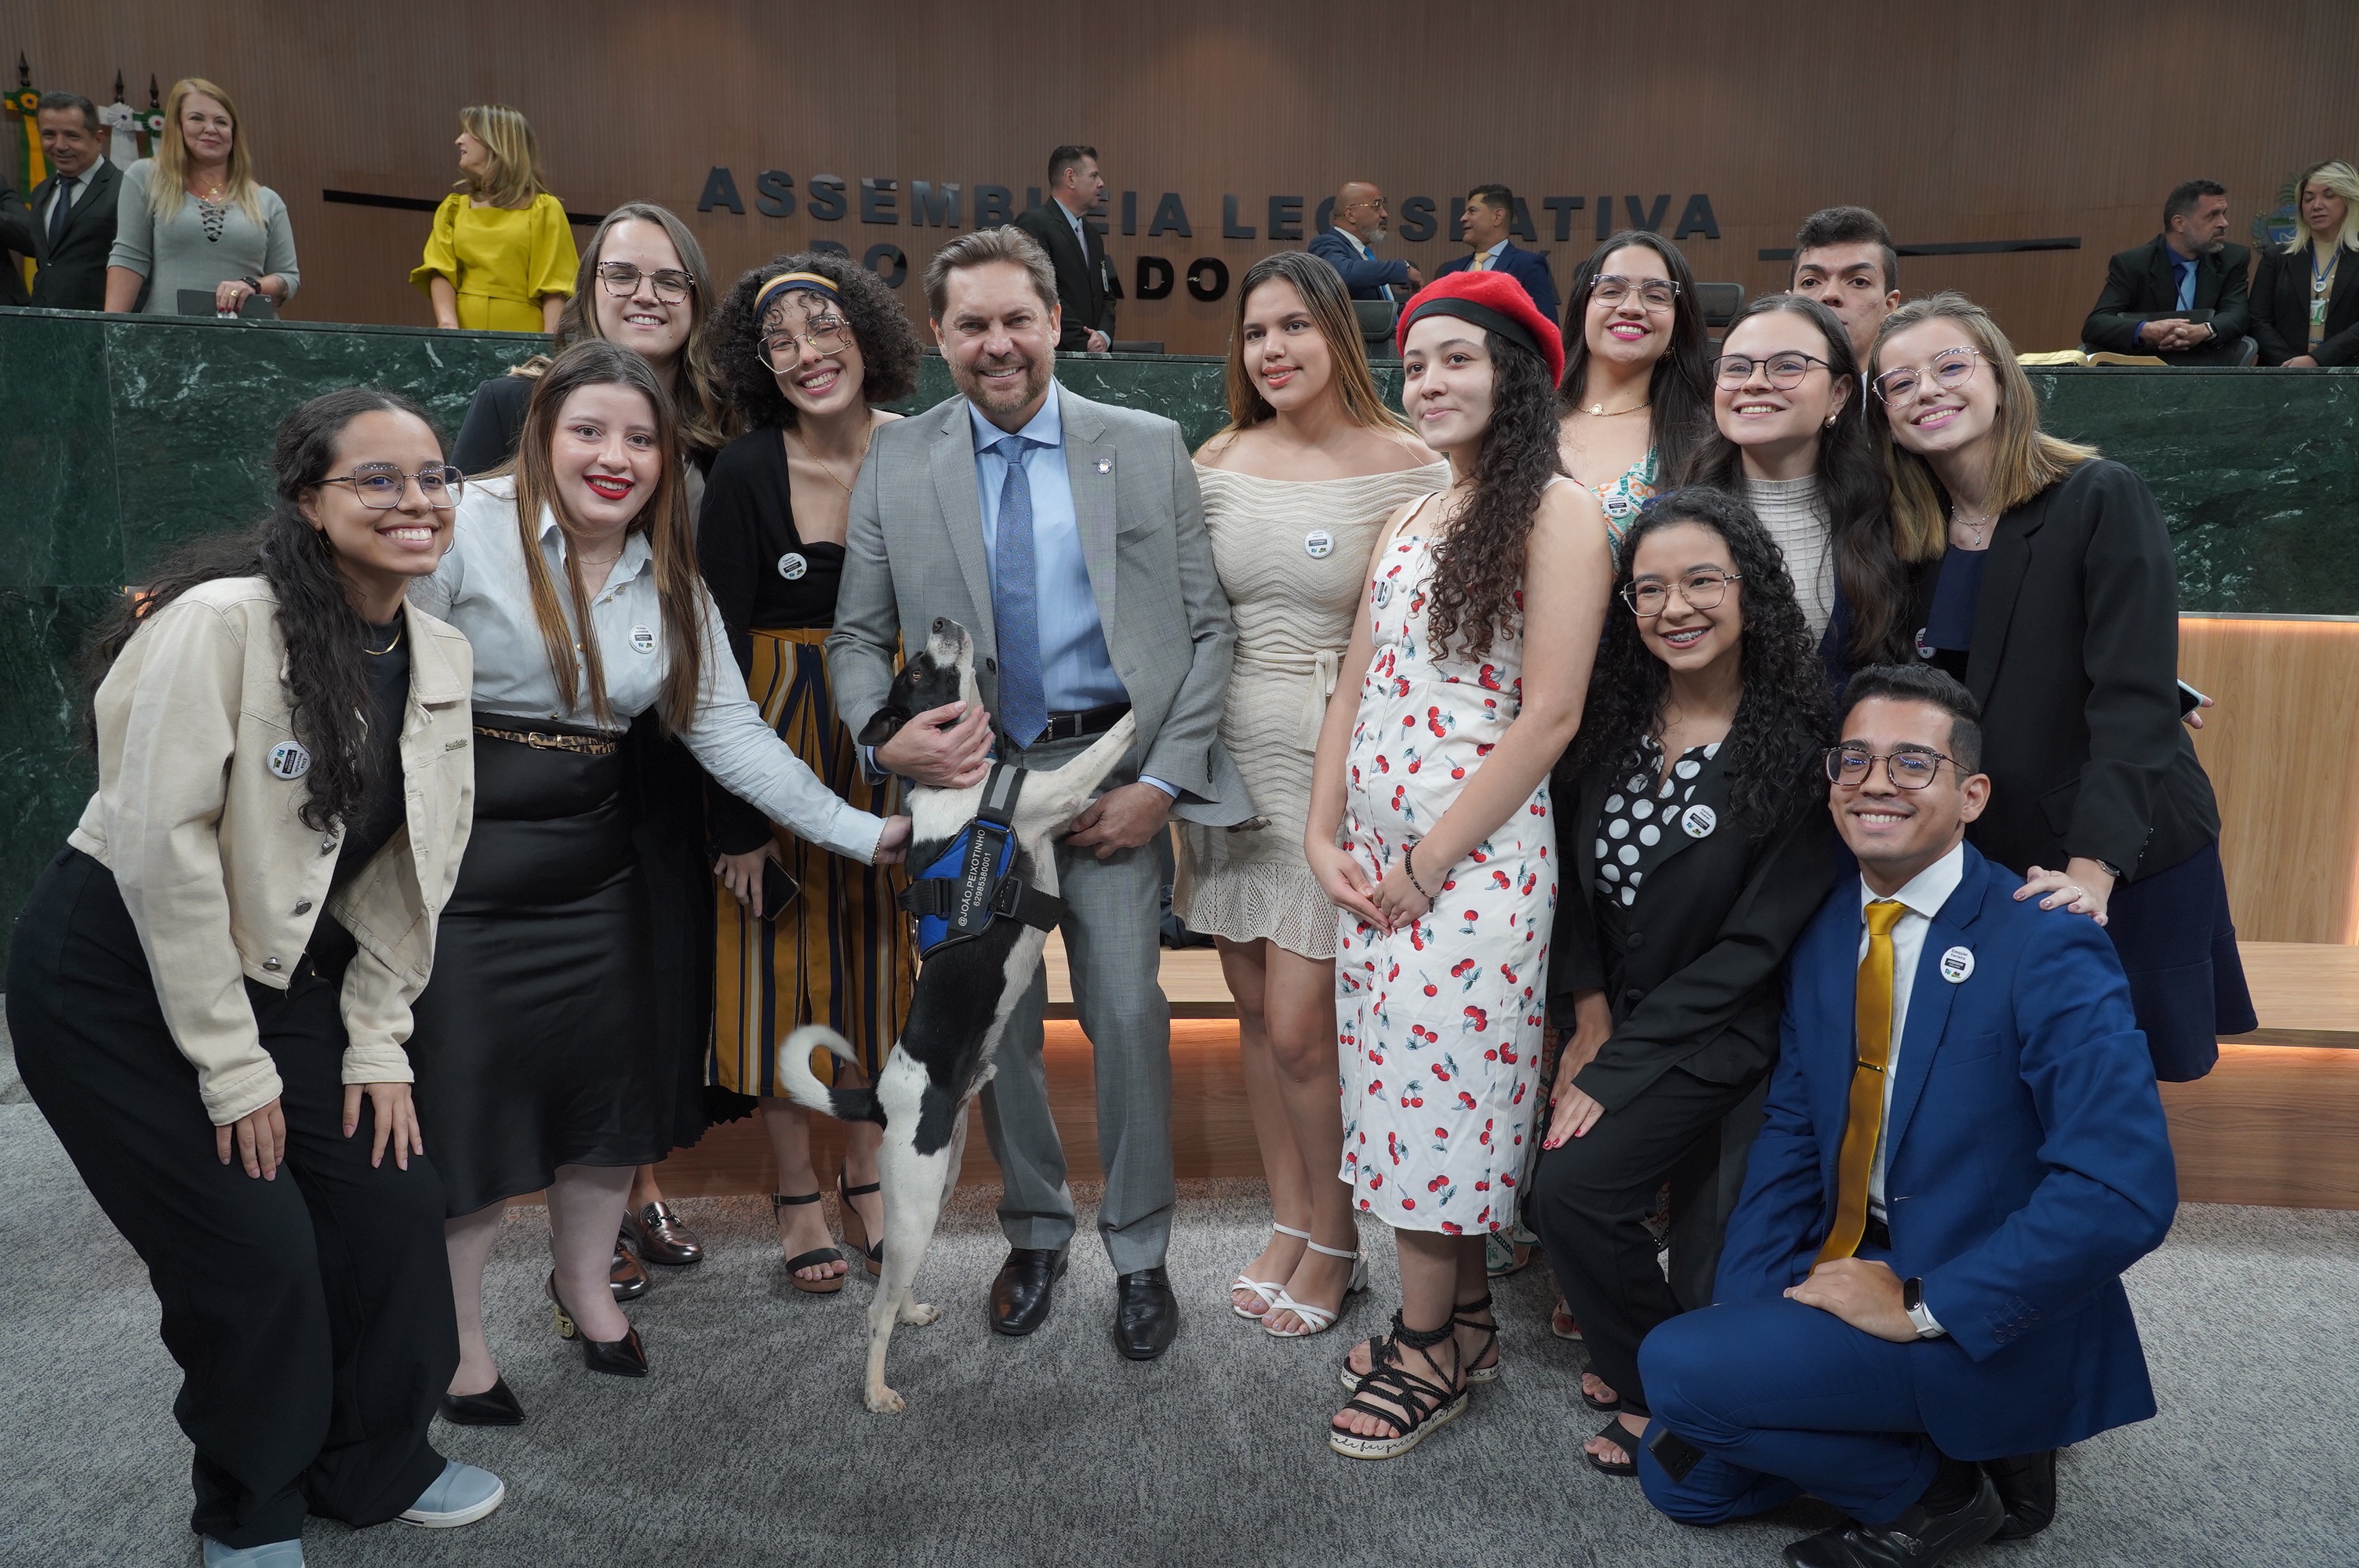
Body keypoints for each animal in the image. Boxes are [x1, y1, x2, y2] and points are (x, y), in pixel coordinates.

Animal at [776, 618, 1139, 1413]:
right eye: (915, 668)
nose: (941, 621)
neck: (961, 787)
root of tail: (879, 1097)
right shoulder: (1056, 794)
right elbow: (1108, 742)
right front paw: (1141, 703)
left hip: (935, 1185)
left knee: (896, 1286)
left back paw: (914, 1309)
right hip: (912, 1200)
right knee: (875, 1313)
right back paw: (878, 1390)